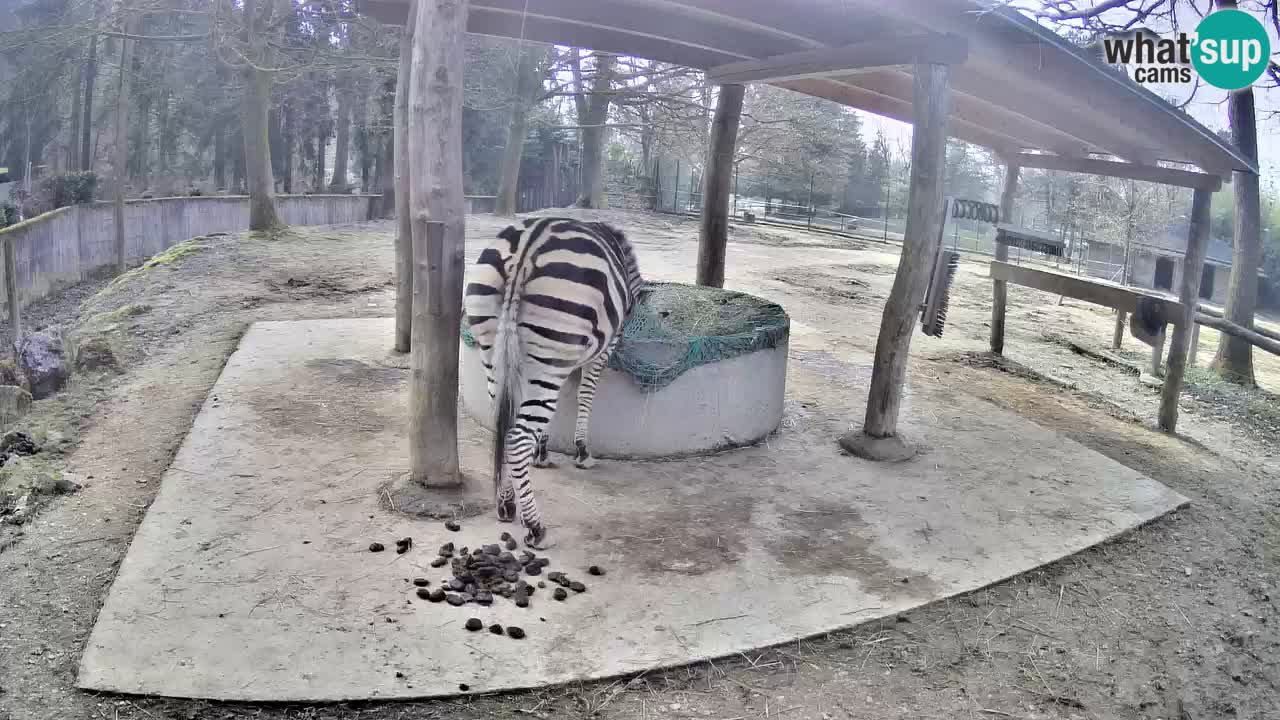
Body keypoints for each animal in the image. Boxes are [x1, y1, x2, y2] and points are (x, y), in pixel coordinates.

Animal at [464, 217, 645, 549]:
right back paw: (535, 527)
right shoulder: (602, 349)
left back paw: (506, 503)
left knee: (504, 427)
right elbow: (585, 394)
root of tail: (526, 247)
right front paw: (582, 450)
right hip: (549, 350)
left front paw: (542, 452)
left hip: (494, 352)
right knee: (516, 439)